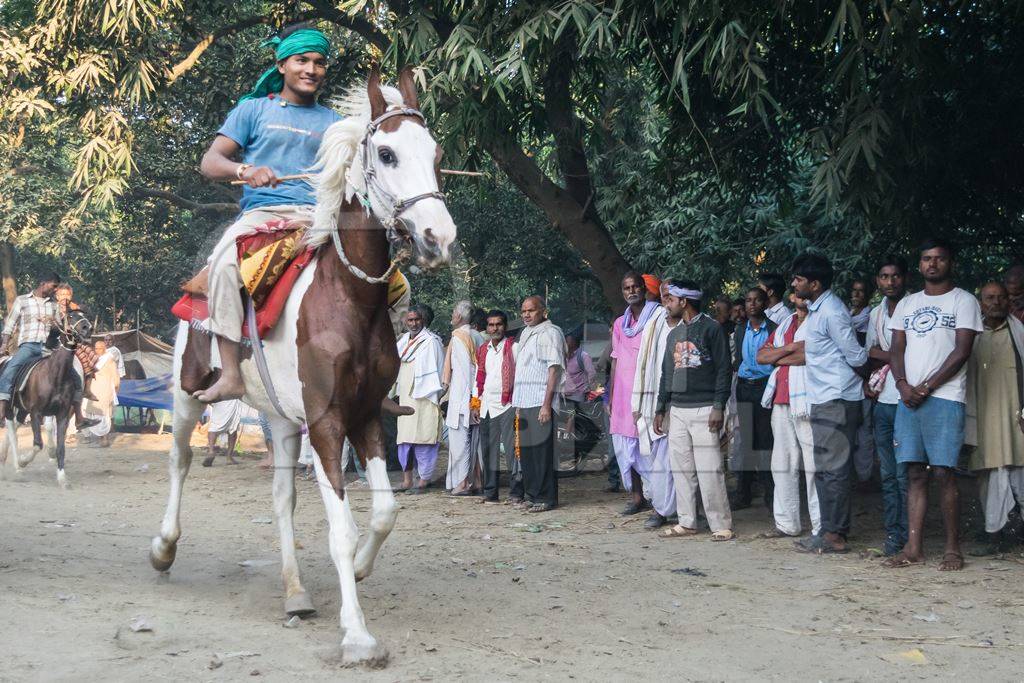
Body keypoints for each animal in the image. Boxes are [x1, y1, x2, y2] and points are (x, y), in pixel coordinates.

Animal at [0, 309, 94, 485]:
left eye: (84, 315)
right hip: (9, 406)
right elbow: (38, 444)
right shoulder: (36, 413)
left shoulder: (62, 414)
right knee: (12, 432)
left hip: (22, 409)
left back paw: (4, 458)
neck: (55, 374)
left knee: (14, 427)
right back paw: (17, 467)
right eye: (70, 316)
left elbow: (60, 448)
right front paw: (23, 461)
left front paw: (62, 477)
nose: (88, 328)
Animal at [149, 66, 456, 663]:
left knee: (281, 500)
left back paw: (295, 592)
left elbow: (382, 514)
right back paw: (164, 548)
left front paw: (357, 569)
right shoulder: (327, 420)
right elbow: (341, 529)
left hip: (282, 418)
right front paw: (357, 635)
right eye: (386, 153)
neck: (347, 299)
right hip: (187, 392)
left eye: (435, 153)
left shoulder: (364, 416)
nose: (439, 238)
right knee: (179, 461)